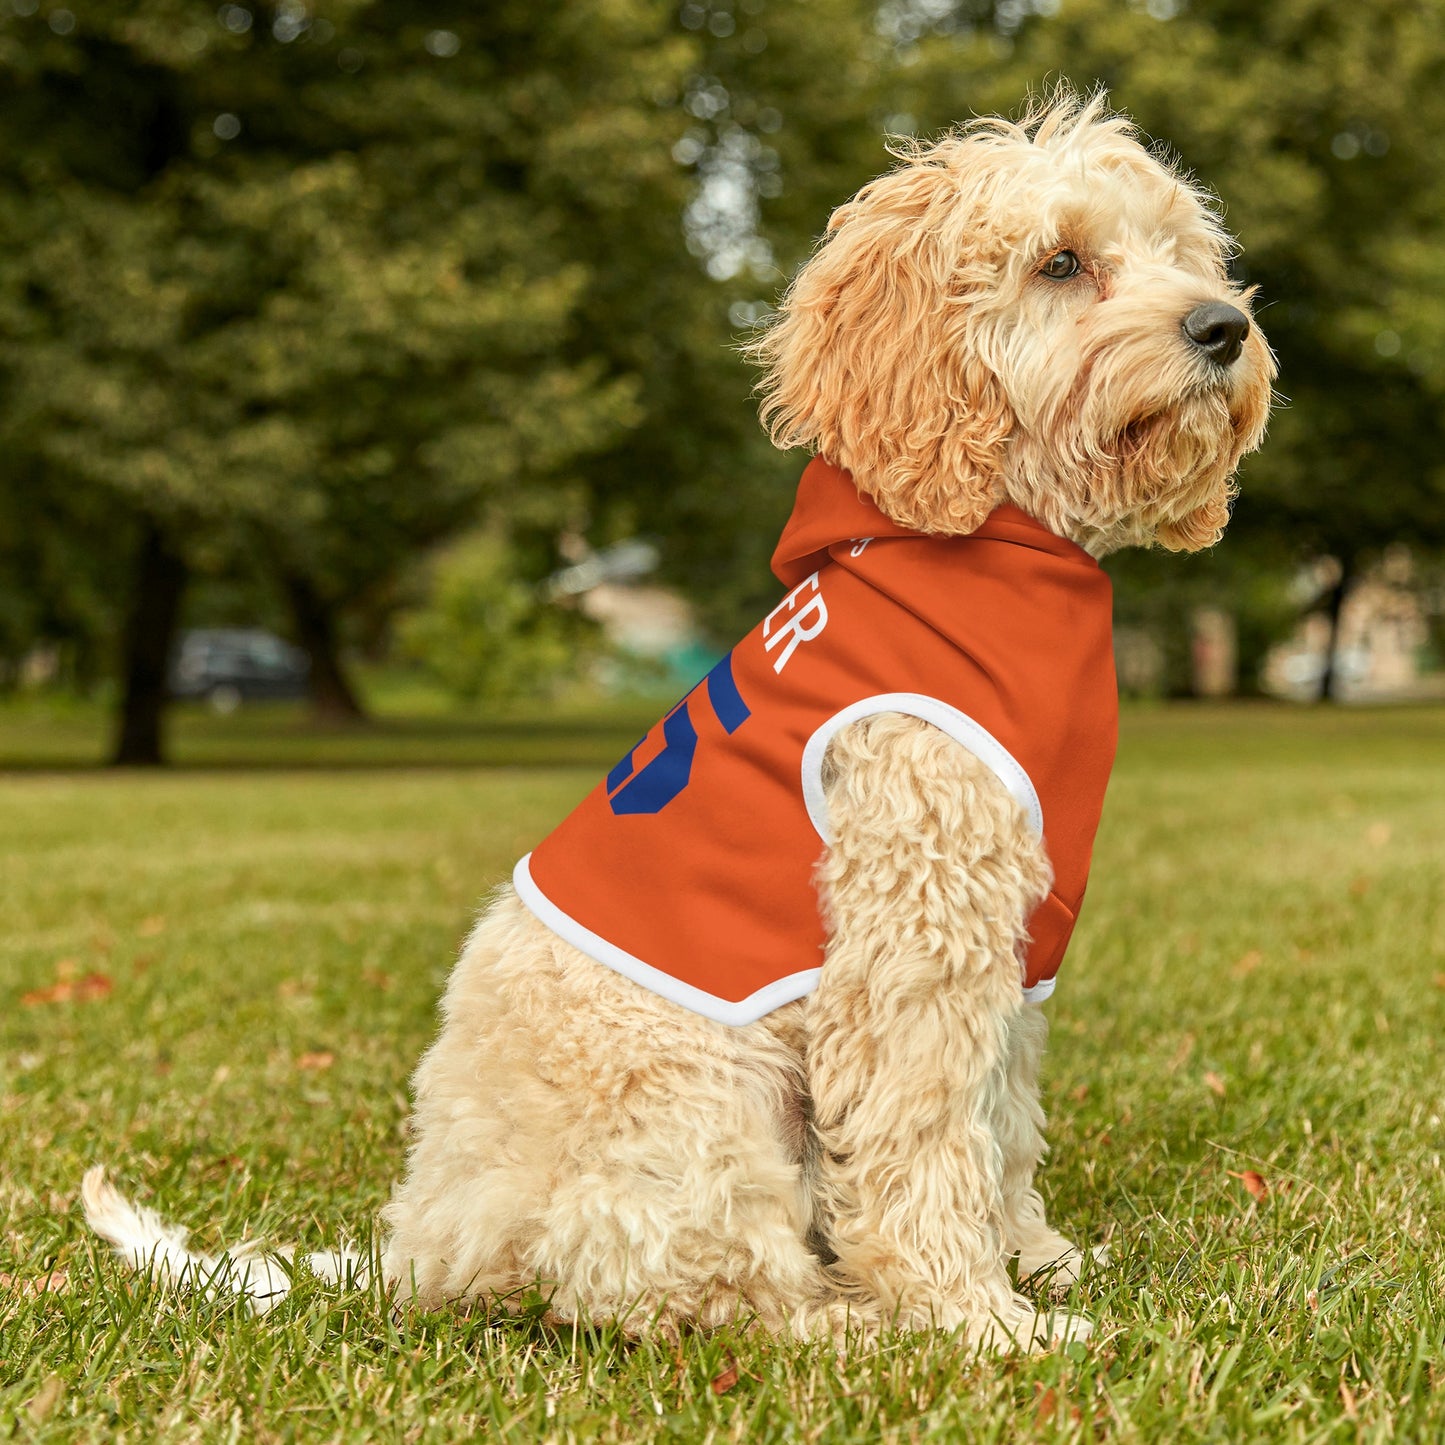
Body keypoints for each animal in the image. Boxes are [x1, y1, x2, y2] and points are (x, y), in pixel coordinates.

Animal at [82, 93, 1277, 1352]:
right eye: (1059, 262)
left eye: (1181, 252)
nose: (1222, 327)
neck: (994, 544)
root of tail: (424, 1247)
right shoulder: (913, 935)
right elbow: (923, 1139)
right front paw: (975, 1318)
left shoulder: (1009, 943)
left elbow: (998, 1123)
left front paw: (1036, 1260)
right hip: (705, 1103)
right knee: (706, 1292)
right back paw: (854, 1321)